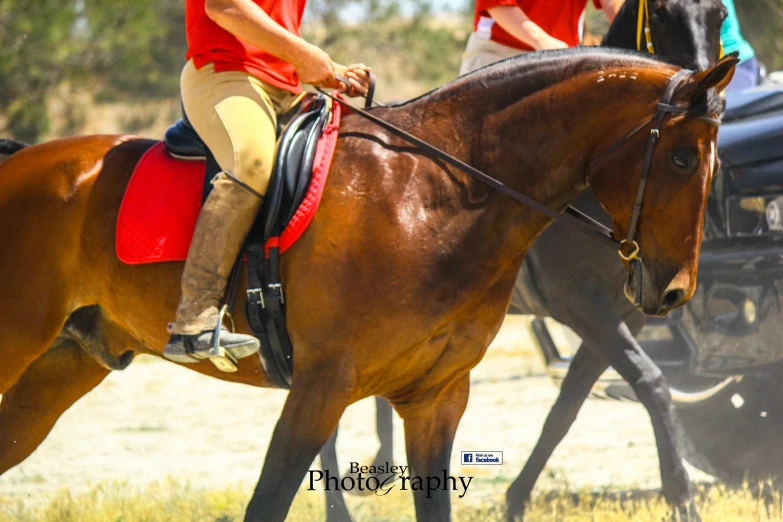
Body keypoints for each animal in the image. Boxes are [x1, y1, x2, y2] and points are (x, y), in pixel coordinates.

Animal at [0, 46, 736, 516]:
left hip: (61, 366)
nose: (672, 291)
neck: (437, 191)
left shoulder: (437, 397)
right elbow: (269, 498)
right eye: (678, 159)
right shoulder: (320, 387)